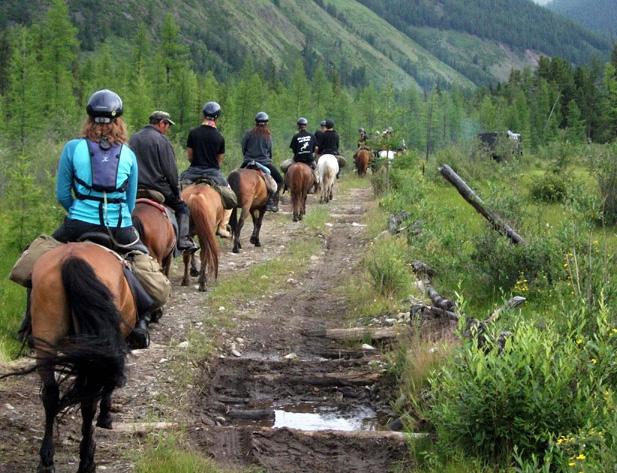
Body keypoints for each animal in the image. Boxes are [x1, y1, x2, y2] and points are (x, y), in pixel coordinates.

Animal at [3, 243, 134, 472]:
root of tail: (73, 258)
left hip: (46, 341)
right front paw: (106, 417)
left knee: (50, 395)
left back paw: (46, 459)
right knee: (89, 400)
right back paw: (87, 460)